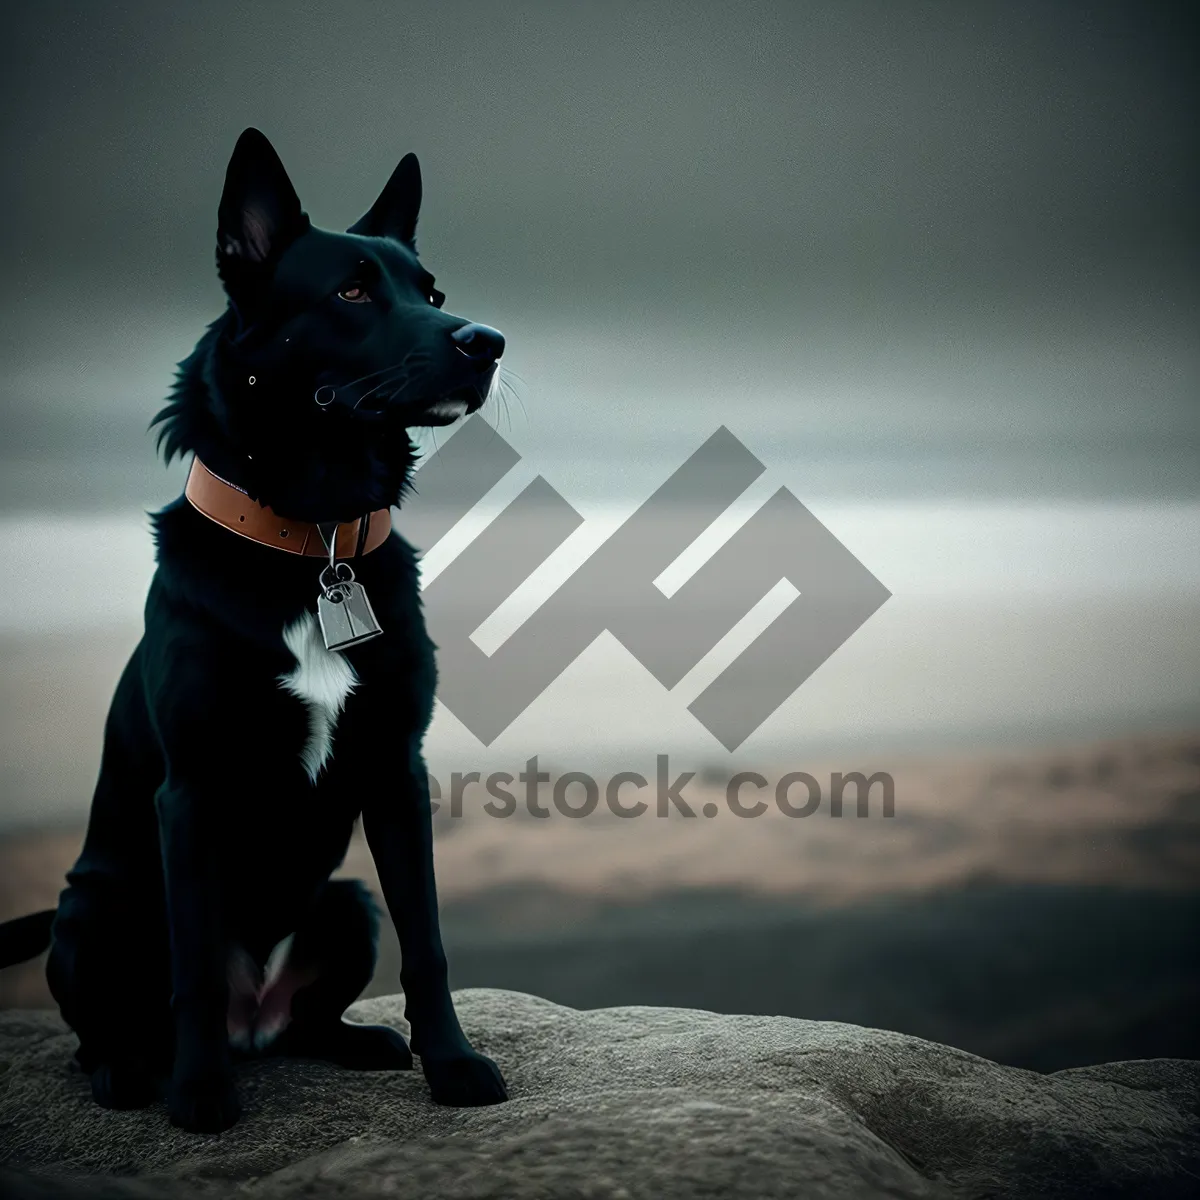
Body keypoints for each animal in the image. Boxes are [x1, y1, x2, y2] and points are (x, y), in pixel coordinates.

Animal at [0, 131, 506, 1132]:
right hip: (93, 914)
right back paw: (136, 1070)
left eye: (430, 293)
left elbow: (429, 944)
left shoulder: (396, 771)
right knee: (105, 1031)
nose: (488, 342)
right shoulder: (192, 793)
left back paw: (354, 1040)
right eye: (350, 292)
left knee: (305, 1021)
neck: (314, 542)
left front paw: (453, 1066)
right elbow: (193, 965)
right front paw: (200, 1096)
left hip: (345, 902)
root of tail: (252, 1025)